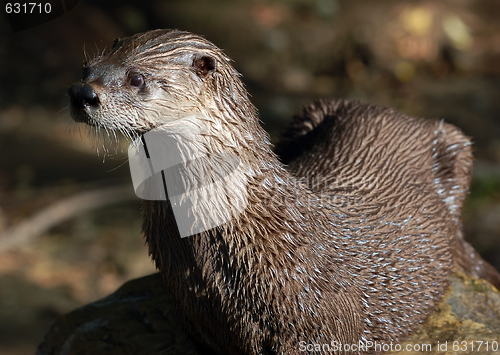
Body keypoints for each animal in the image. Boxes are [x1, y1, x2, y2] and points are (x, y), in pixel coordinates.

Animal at [67, 29, 500, 355]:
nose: (81, 94)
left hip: (453, 142)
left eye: (136, 78)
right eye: (86, 68)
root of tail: (393, 110)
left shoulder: (322, 319)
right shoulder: (197, 317)